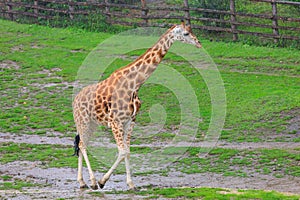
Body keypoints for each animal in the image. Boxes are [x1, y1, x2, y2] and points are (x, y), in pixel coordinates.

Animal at [72, 20, 202, 191]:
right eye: (186, 33)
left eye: (192, 31)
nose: (199, 43)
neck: (134, 85)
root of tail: (75, 100)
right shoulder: (116, 122)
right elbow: (122, 151)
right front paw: (102, 181)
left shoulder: (130, 121)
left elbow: (127, 152)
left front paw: (131, 184)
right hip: (83, 121)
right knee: (82, 145)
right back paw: (92, 182)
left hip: (92, 123)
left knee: (81, 144)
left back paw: (82, 182)